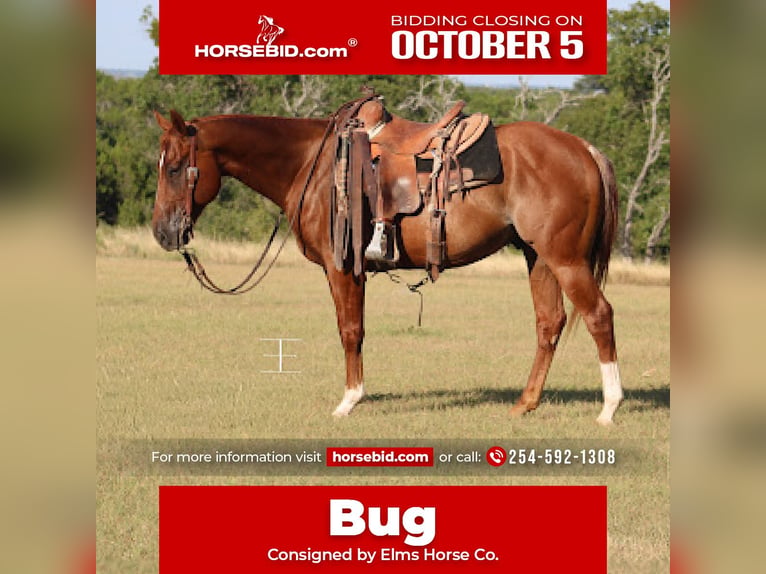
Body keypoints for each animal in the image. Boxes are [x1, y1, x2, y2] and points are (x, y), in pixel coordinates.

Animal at [151, 94, 623, 425]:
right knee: (549, 322)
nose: (163, 232)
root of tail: (585, 149)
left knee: (599, 315)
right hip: (538, 256)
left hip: (566, 259)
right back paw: (525, 404)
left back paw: (609, 408)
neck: (311, 166)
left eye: (174, 168)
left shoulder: (343, 268)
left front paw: (349, 400)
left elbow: (350, 330)